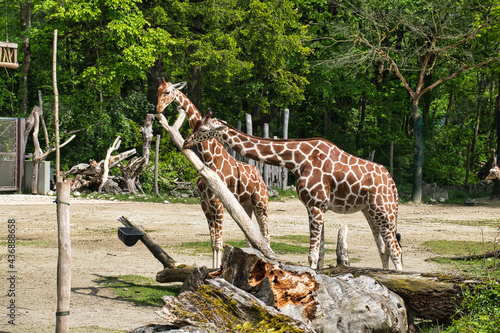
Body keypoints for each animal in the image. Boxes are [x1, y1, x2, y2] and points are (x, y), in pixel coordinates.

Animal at [158, 78, 272, 268]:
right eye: (157, 91)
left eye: (168, 92)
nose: (158, 109)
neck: (209, 159)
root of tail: (260, 177)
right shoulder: (205, 204)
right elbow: (212, 243)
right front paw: (212, 270)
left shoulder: (218, 204)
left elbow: (219, 242)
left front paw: (218, 269)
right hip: (246, 205)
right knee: (251, 239)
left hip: (260, 203)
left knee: (266, 236)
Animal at [182, 109, 404, 270]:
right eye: (196, 125)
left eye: (203, 129)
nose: (186, 141)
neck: (297, 160)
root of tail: (392, 184)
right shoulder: (317, 207)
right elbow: (320, 254)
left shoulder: (316, 205)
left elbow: (312, 254)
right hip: (370, 211)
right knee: (383, 249)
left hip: (383, 210)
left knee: (395, 250)